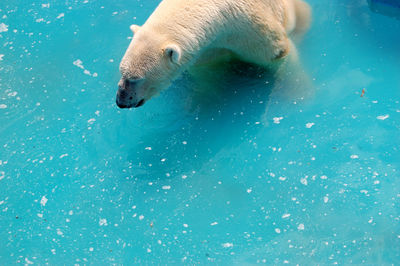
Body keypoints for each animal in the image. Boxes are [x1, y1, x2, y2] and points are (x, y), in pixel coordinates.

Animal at [115, 0, 310, 108]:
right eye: (122, 72)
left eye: (136, 79)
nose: (120, 101)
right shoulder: (208, 50)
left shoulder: (250, 28)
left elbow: (278, 53)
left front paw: (296, 93)